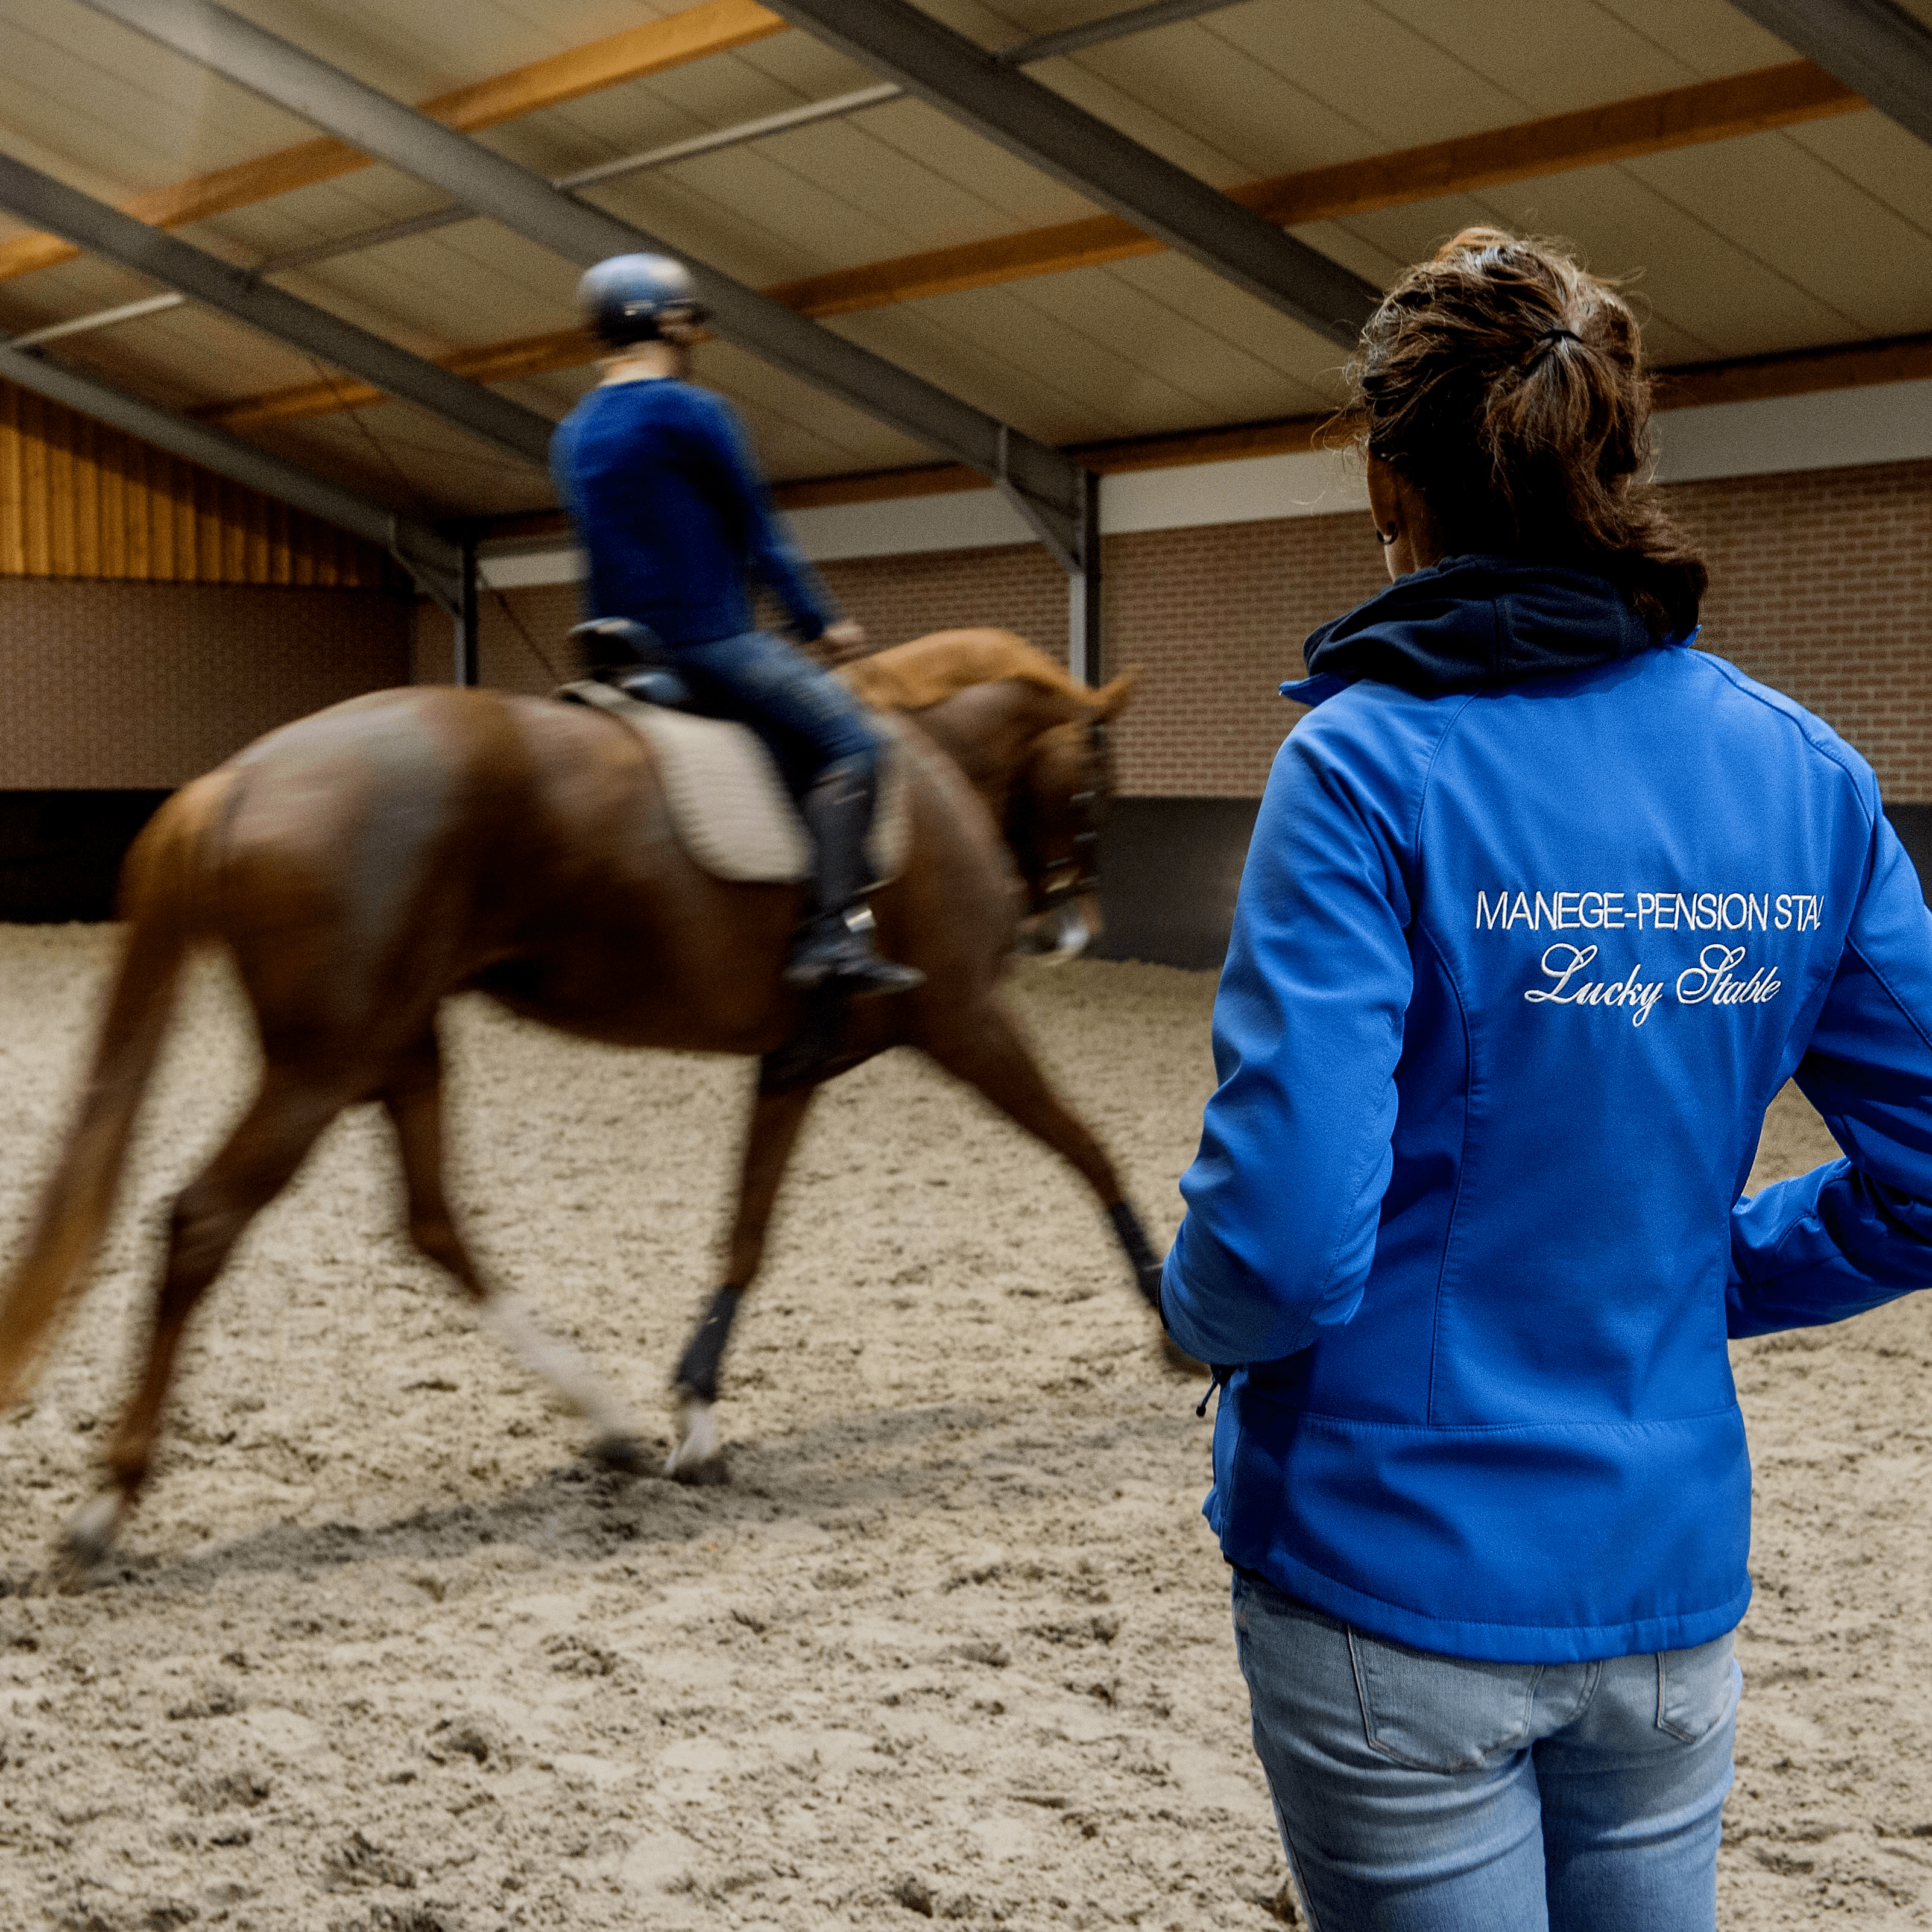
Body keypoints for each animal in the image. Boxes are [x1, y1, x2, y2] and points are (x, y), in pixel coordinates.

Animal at [0, 626, 1159, 1561]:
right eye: (1095, 792)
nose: (1071, 930)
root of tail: (238, 776)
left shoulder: (797, 1059)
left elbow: (747, 1228)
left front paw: (695, 1416)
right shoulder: (966, 1018)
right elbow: (1086, 1145)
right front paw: (1169, 1317)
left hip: (395, 1045)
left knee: (431, 1222)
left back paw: (606, 1421)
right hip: (321, 1064)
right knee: (205, 1222)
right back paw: (106, 1506)